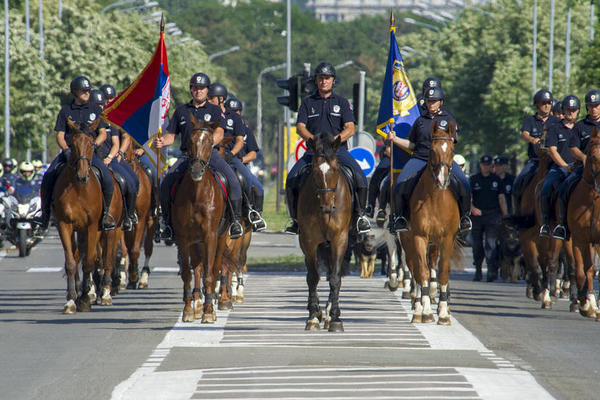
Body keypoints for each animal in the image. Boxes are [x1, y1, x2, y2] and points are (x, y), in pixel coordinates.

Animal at [55, 120, 122, 314]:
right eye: (72, 144)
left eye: (92, 144)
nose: (82, 175)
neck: (78, 189)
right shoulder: (64, 224)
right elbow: (71, 262)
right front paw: (72, 299)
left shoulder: (92, 226)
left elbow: (90, 261)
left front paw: (85, 298)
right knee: (81, 255)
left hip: (108, 229)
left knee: (106, 258)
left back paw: (103, 293)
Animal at [173, 114, 230, 324]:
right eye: (190, 141)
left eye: (210, 142)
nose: (196, 171)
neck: (197, 194)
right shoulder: (183, 238)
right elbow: (188, 274)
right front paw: (189, 310)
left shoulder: (211, 236)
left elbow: (210, 274)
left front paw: (208, 312)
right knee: (198, 268)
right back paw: (198, 303)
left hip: (220, 238)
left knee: (214, 268)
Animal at [298, 133, 352, 332]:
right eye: (315, 171)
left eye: (335, 170)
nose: (328, 207)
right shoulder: (308, 241)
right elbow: (313, 277)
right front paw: (313, 316)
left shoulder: (340, 239)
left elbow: (335, 278)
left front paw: (335, 317)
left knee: (331, 272)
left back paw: (329, 314)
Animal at [400, 119, 462, 324]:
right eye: (432, 150)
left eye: (452, 149)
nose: (442, 180)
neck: (436, 199)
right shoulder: (419, 237)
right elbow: (423, 273)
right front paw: (425, 311)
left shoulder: (447, 238)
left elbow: (442, 272)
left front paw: (443, 313)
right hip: (408, 241)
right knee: (416, 269)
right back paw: (418, 305)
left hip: (435, 243)